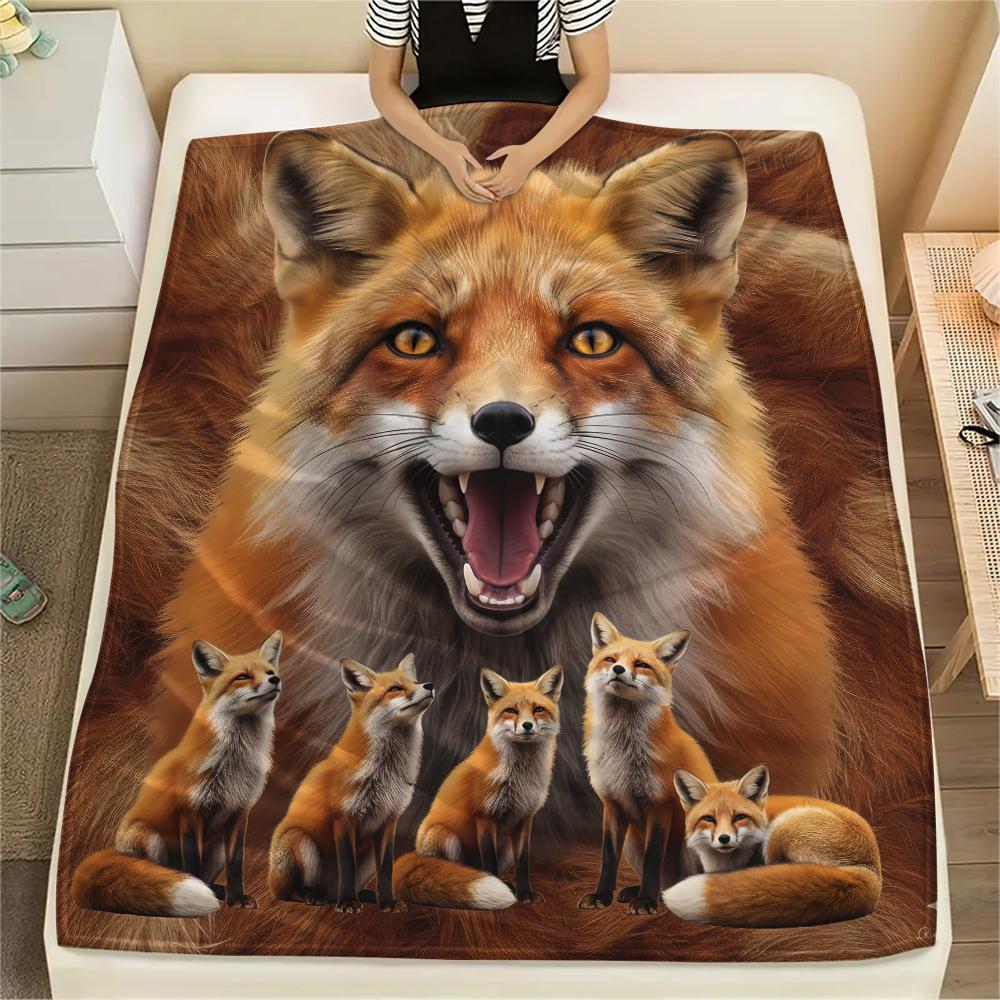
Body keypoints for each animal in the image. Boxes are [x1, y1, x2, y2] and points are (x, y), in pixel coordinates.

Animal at [72, 632, 284, 916]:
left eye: (270, 672)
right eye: (242, 676)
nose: (275, 680)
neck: (233, 765)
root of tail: (116, 850)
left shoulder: (239, 813)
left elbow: (236, 864)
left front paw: (237, 898)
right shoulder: (190, 813)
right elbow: (192, 862)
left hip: (216, 846)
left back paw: (216, 891)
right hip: (148, 836)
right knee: (170, 871)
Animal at [268, 653, 435, 912]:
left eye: (415, 682)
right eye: (395, 688)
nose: (430, 685)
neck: (384, 772)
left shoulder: (388, 820)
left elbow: (386, 870)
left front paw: (387, 902)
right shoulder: (344, 817)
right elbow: (347, 866)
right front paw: (347, 902)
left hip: (366, 857)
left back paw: (362, 895)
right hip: (300, 840)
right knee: (288, 892)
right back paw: (314, 895)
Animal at [393, 665, 563, 910]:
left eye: (538, 709)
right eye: (511, 710)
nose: (527, 725)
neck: (520, 778)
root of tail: (416, 854)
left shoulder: (524, 819)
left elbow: (523, 863)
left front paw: (526, 893)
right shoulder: (484, 817)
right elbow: (490, 861)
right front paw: (502, 888)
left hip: (506, 847)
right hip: (444, 836)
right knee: (460, 868)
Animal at [579, 613, 717, 915]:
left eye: (641, 664)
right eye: (610, 659)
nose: (618, 669)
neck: (623, 754)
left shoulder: (660, 804)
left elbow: (654, 857)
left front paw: (645, 901)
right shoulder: (611, 803)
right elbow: (608, 858)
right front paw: (602, 896)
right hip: (633, 840)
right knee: (665, 883)